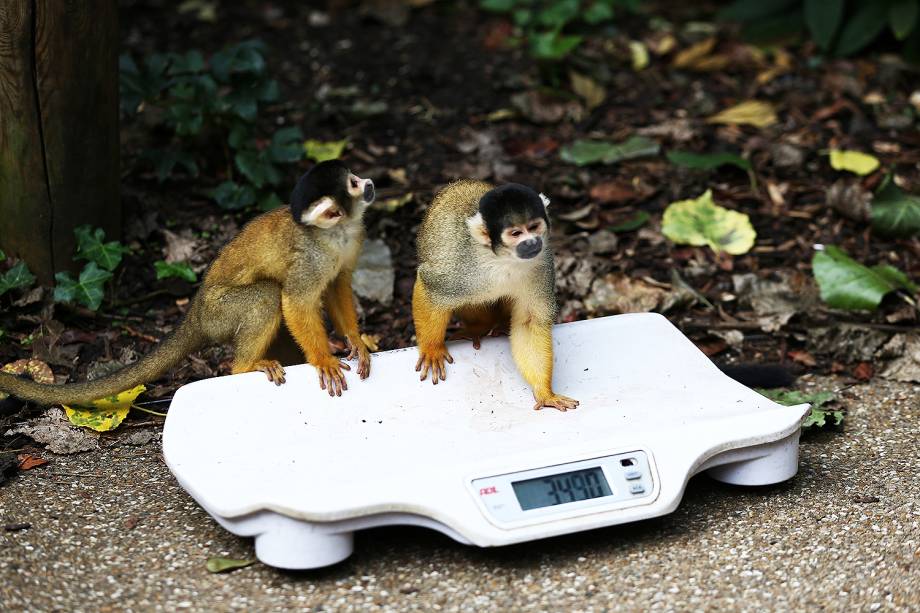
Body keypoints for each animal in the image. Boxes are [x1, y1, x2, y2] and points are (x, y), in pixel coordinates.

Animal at [0, 160, 374, 404]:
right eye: (353, 184)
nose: (370, 184)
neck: (334, 233)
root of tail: (193, 314)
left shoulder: (353, 240)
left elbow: (338, 284)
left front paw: (356, 341)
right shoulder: (310, 259)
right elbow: (296, 300)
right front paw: (324, 359)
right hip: (219, 313)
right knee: (267, 295)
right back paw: (244, 367)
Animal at [414, 180, 580, 412]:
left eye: (534, 227)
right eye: (516, 233)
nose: (532, 243)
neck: (503, 260)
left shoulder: (543, 264)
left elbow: (529, 323)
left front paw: (545, 393)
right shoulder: (461, 267)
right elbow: (430, 288)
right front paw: (431, 349)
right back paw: (478, 326)